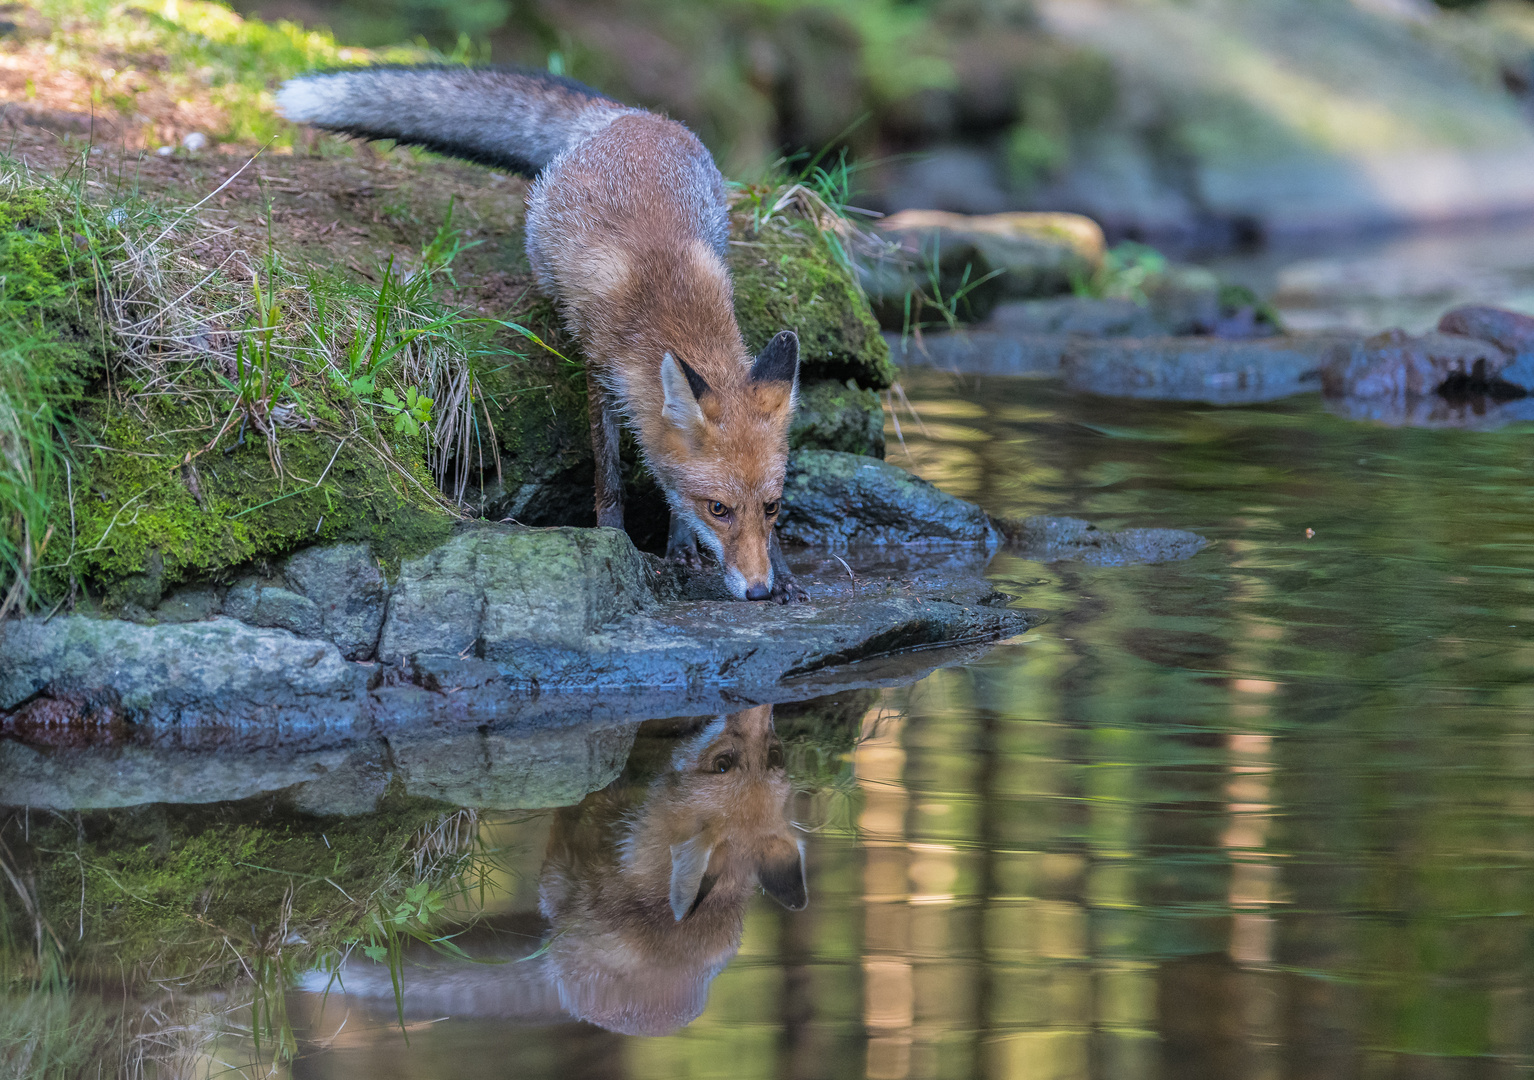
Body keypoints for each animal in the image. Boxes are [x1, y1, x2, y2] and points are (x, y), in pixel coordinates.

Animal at [274, 69, 803, 598]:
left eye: (772, 507)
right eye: (719, 509)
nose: (759, 591)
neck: (672, 296)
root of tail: (634, 116)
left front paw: (763, 566)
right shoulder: (600, 367)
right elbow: (609, 480)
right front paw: (616, 541)